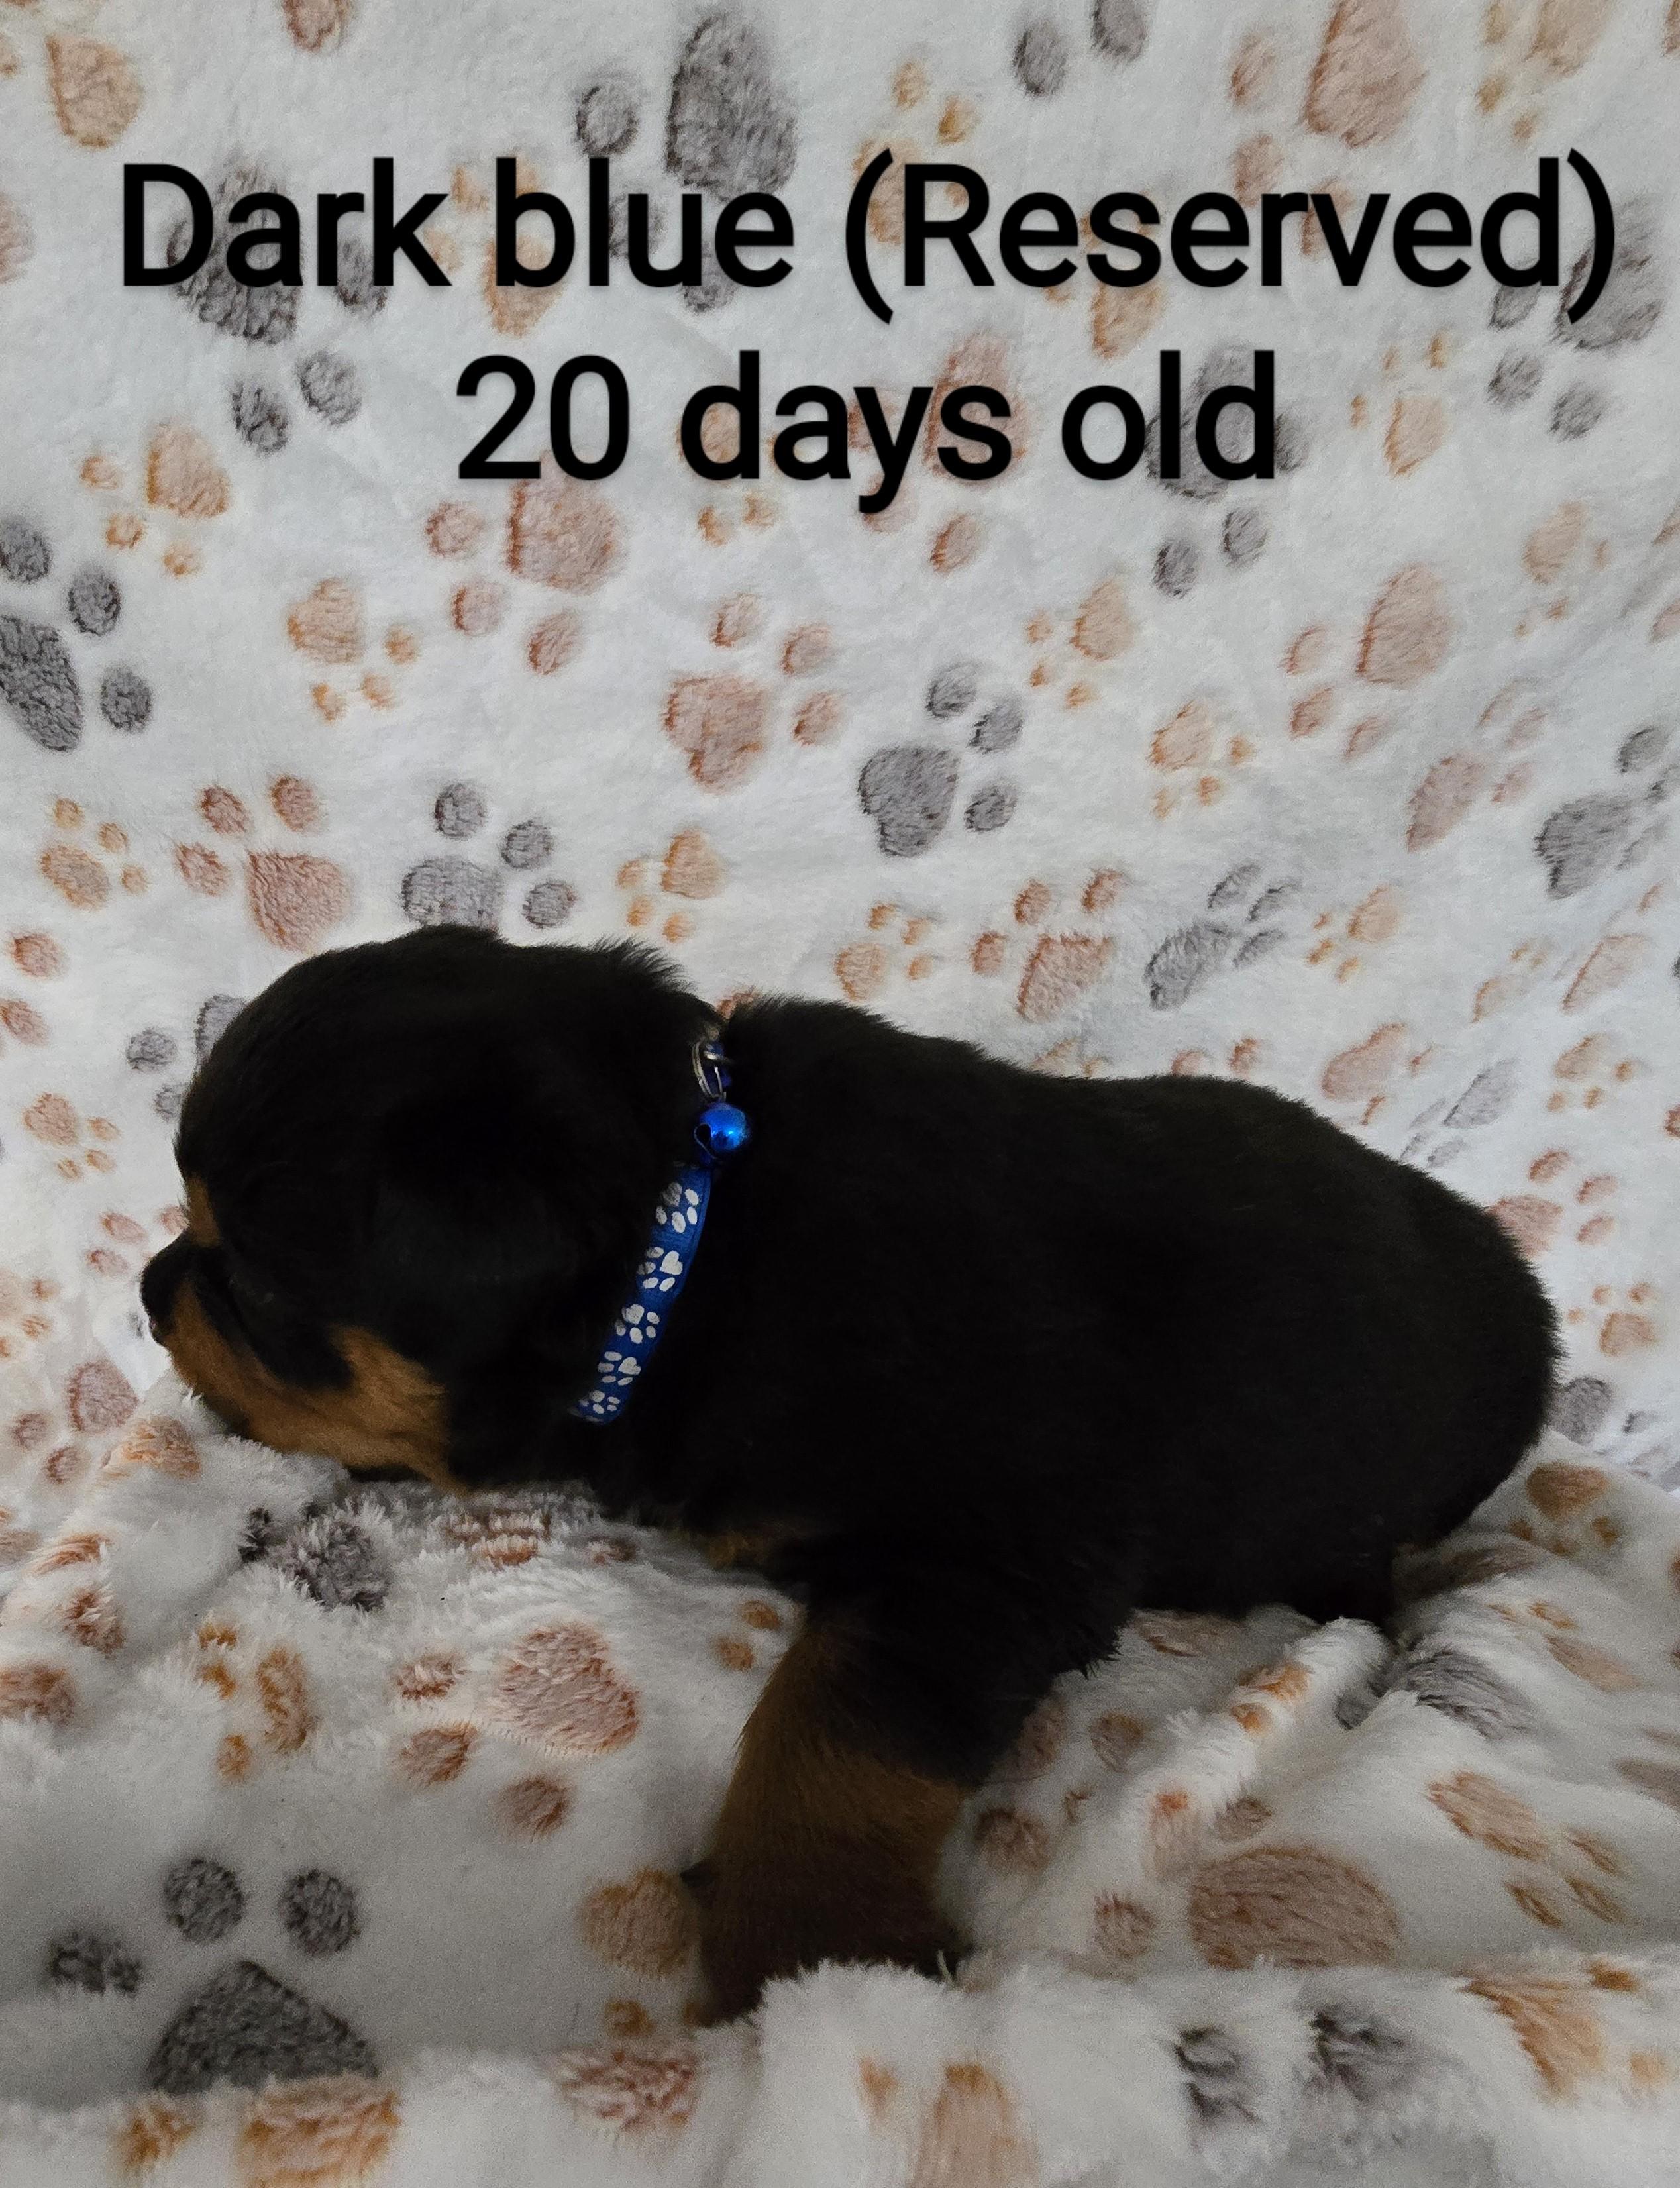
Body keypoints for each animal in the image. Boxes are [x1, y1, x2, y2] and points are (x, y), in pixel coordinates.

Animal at [141, 924, 1558, 2018]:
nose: (153, 1290)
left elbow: (830, 1742)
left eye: (254, 1284)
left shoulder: (983, 1565)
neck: (691, 1240)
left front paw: (809, 1960)